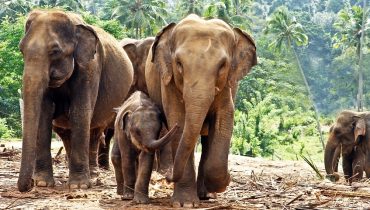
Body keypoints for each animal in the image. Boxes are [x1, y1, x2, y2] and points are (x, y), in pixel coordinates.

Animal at [17, 10, 133, 192]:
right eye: (21, 50)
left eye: (55, 51)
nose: (29, 186)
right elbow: (44, 112)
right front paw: (43, 183)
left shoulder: (90, 67)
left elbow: (80, 112)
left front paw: (79, 185)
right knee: (66, 133)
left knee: (95, 131)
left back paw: (93, 175)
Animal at [145, 14, 258, 207]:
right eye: (179, 64)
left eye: (222, 65)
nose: (167, 177)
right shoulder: (168, 83)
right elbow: (179, 121)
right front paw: (185, 204)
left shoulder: (228, 87)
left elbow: (224, 121)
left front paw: (223, 181)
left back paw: (206, 194)